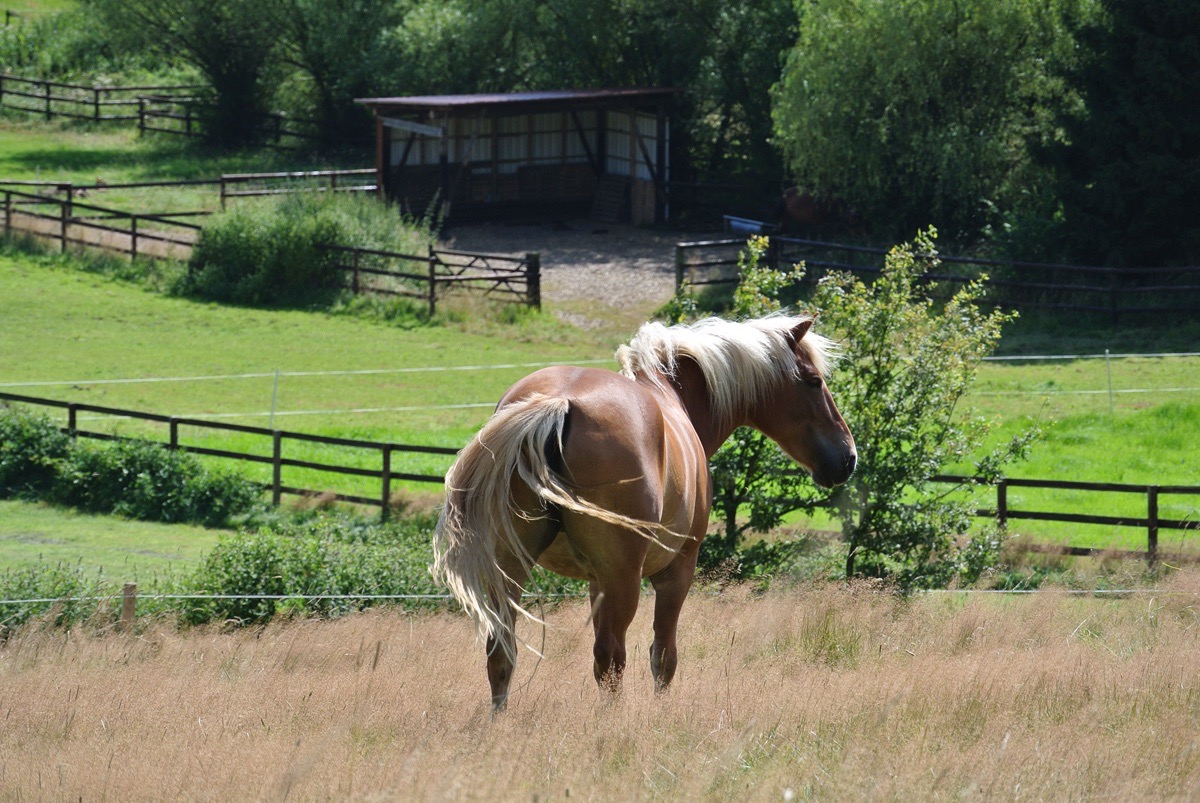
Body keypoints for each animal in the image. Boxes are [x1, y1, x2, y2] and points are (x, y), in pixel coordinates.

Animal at [432, 314, 856, 711]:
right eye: (813, 381)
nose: (848, 457)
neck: (671, 396)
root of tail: (559, 404)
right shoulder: (676, 571)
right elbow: (663, 657)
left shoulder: (596, 581)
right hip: (624, 579)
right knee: (610, 657)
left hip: (512, 569)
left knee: (502, 652)